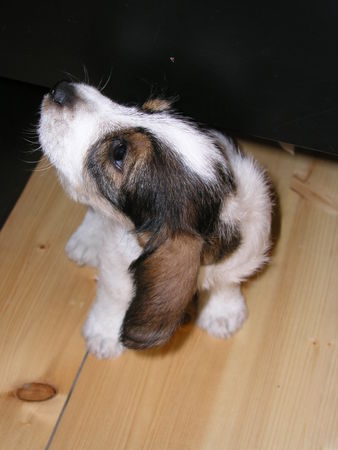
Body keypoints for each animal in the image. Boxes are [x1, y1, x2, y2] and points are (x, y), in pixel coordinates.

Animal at [38, 81, 274, 360]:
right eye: (146, 107)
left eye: (119, 153)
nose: (61, 90)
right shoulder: (119, 258)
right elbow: (115, 294)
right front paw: (104, 332)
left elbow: (227, 281)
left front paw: (223, 313)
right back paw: (87, 240)